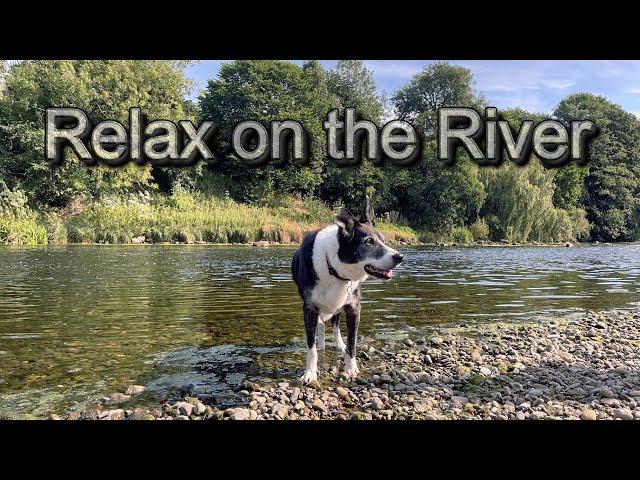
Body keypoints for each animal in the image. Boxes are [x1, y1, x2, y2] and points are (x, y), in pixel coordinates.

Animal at [292, 195, 402, 382]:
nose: (399, 257)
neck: (334, 268)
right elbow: (310, 346)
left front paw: (351, 368)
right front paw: (310, 373)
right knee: (321, 326)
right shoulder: (309, 308)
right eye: (368, 241)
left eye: (383, 240)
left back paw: (338, 344)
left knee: (335, 324)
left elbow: (352, 342)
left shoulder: (353, 307)